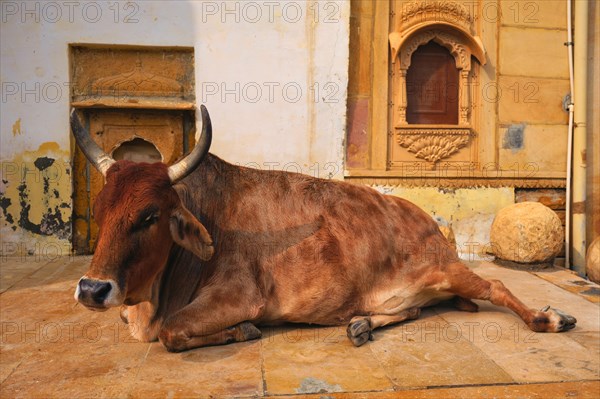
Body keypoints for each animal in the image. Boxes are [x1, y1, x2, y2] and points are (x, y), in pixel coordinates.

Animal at [72, 106, 576, 354]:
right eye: (99, 208)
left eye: (150, 215)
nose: (92, 289)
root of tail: (428, 221)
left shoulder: (238, 296)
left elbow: (173, 333)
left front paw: (244, 332)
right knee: (411, 310)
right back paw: (359, 326)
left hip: (449, 271)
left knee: (495, 287)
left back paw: (549, 318)